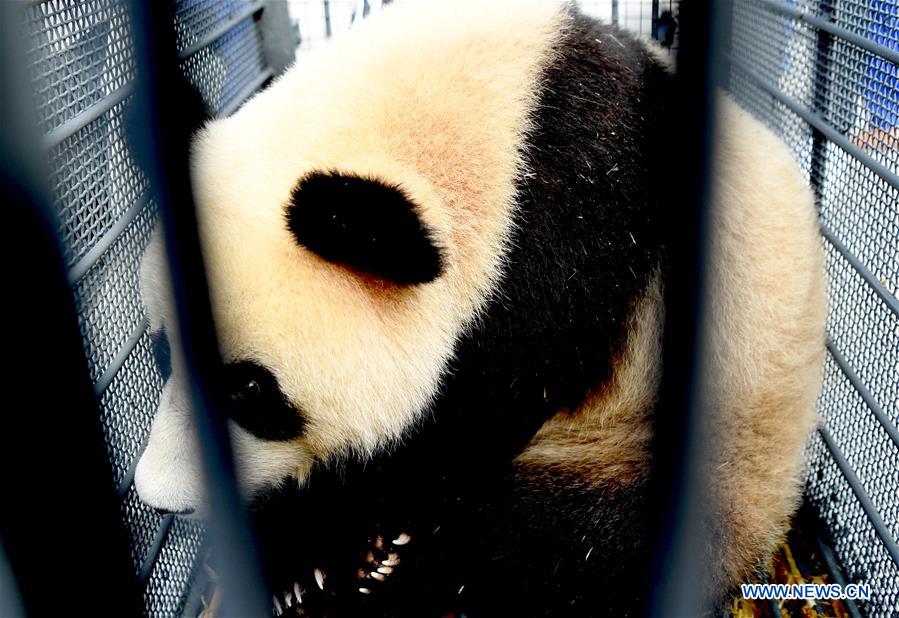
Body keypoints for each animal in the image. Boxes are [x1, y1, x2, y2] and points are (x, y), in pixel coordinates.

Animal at [133, 1, 827, 616]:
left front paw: (318, 545)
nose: (160, 498)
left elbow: (454, 435)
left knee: (560, 545)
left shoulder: (569, 242)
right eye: (164, 349)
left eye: (248, 390)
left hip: (704, 447)